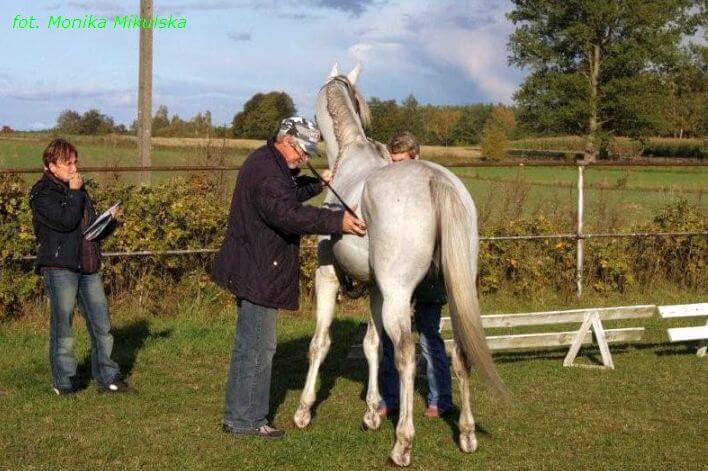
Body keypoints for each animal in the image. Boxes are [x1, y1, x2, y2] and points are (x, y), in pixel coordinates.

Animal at [294, 64, 504, 466]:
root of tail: (435, 179)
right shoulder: (375, 288)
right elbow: (373, 344)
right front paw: (373, 412)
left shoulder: (327, 278)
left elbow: (320, 343)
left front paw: (304, 409)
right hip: (452, 293)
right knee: (460, 352)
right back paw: (467, 433)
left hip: (397, 296)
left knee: (407, 354)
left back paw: (403, 443)